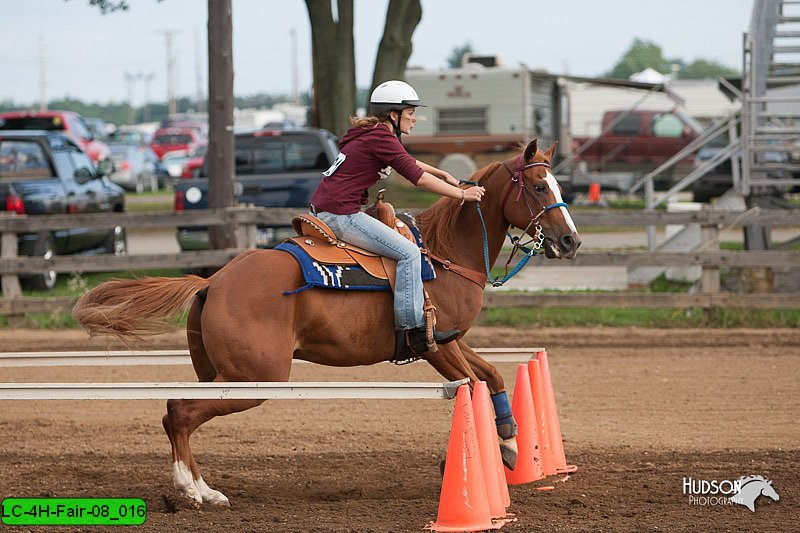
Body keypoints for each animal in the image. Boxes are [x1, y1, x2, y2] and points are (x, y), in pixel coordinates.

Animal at [72, 137, 580, 502]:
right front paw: (485, 456)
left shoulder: (452, 339)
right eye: (539, 187)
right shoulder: (436, 344)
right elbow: (471, 386)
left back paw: (203, 490)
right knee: (178, 412)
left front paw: (510, 443)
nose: (571, 242)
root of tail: (213, 280)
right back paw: (193, 490)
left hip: (223, 375)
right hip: (256, 378)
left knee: (177, 412)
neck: (443, 252)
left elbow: (491, 376)